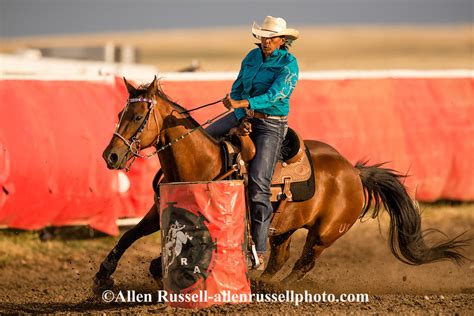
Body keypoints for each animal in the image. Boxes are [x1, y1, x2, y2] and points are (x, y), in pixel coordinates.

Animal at [91, 76, 466, 294]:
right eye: (121, 114)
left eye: (138, 116)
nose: (111, 156)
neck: (201, 163)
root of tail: (353, 172)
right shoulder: (161, 211)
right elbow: (127, 236)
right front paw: (102, 277)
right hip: (283, 228)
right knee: (280, 257)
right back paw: (262, 281)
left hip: (325, 233)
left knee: (303, 263)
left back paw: (272, 287)